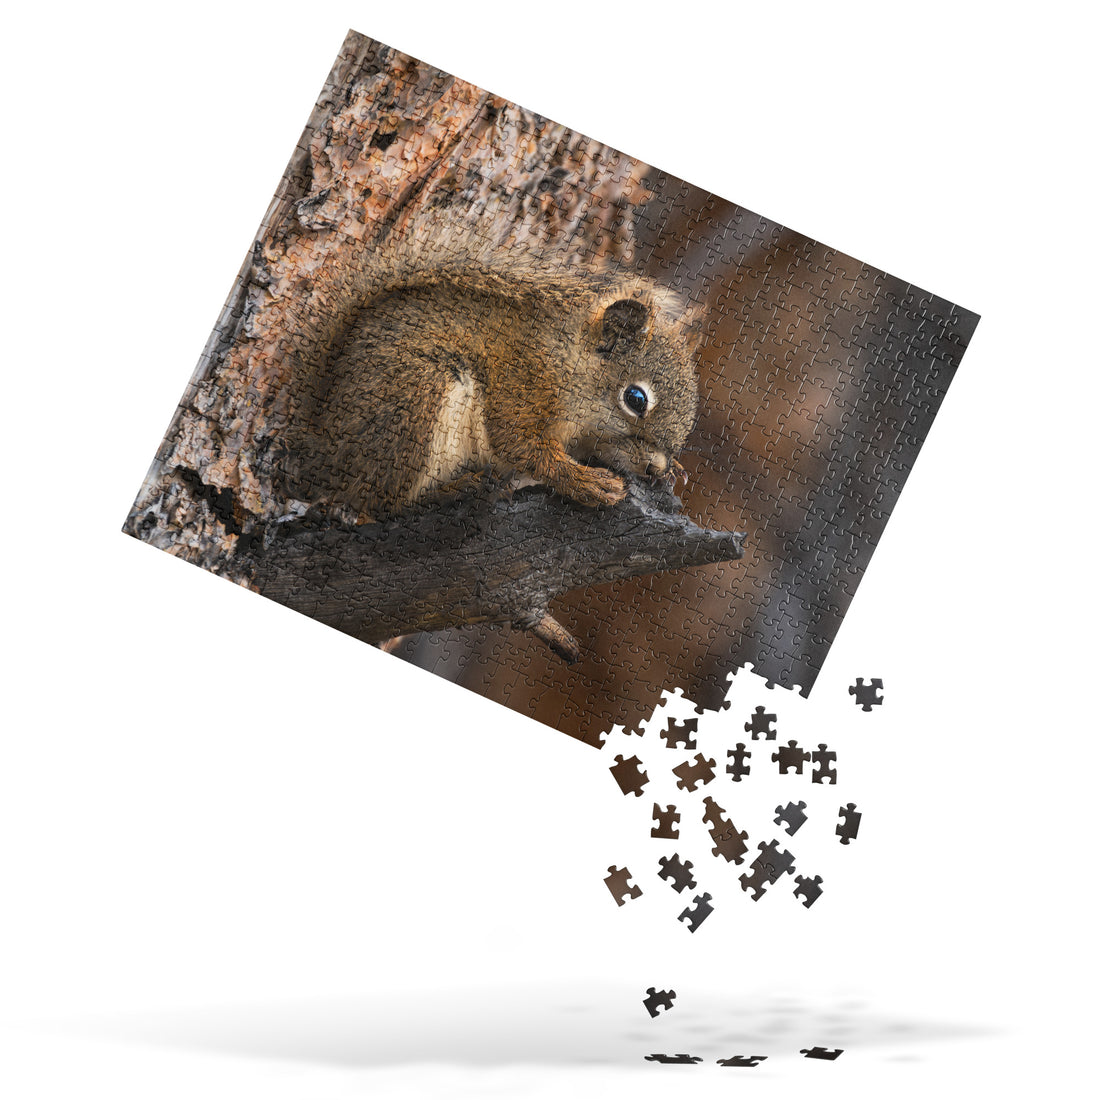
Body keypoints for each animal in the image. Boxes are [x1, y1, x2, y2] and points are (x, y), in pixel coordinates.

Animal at [281, 251, 701, 523]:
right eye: (635, 399)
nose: (653, 467)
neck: (566, 363)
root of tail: (325, 451)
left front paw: (674, 470)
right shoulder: (521, 383)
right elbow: (519, 444)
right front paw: (586, 482)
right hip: (415, 400)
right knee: (380, 504)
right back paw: (457, 488)